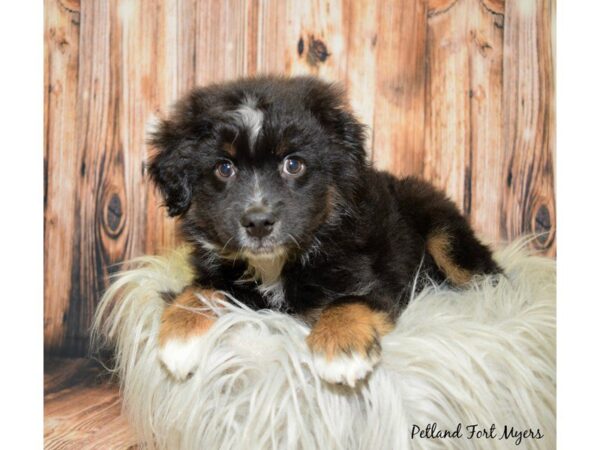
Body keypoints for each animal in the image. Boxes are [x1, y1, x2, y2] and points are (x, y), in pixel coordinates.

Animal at [150, 76, 502, 386]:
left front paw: (341, 350)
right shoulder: (219, 270)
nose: (259, 222)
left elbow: (348, 301)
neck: (273, 265)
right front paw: (179, 340)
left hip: (444, 233)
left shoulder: (375, 279)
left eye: (293, 165)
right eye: (224, 168)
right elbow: (199, 291)